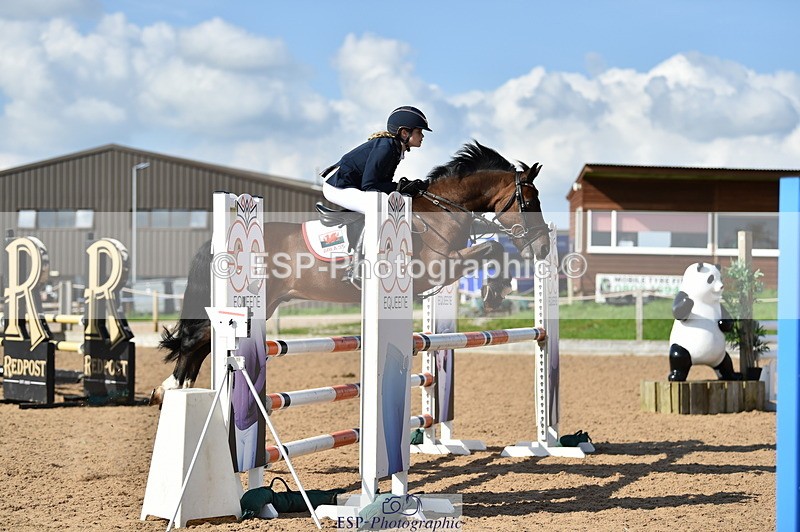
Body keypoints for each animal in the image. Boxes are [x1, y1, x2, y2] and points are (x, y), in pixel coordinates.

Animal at [150, 141, 551, 404]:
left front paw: (495, 292)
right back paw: (169, 390)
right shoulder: (439, 266)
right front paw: (494, 293)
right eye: (530, 202)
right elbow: (492, 249)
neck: (441, 212)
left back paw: (180, 390)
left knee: (205, 341)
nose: (544, 248)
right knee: (195, 339)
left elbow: (493, 250)